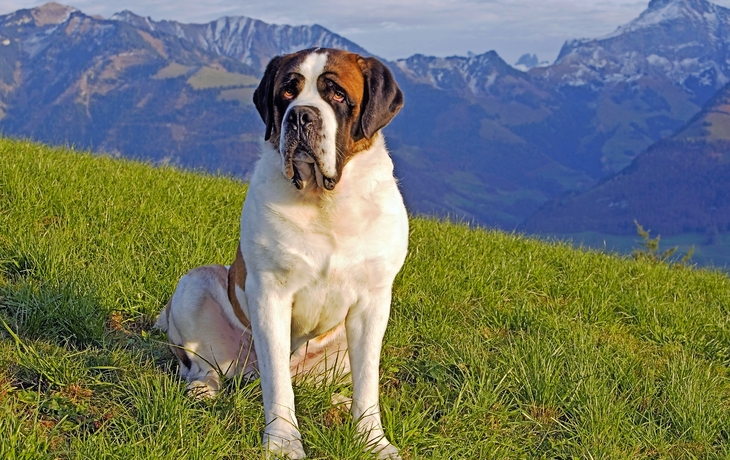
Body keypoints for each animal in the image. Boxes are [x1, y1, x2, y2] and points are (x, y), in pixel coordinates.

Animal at [156, 48, 406, 458]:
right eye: (288, 91)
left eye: (337, 94)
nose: (301, 115)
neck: (324, 201)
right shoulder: (270, 292)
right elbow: (277, 382)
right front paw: (284, 442)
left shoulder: (373, 301)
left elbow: (367, 380)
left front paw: (373, 443)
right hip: (196, 284)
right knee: (209, 366)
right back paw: (203, 388)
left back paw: (337, 401)